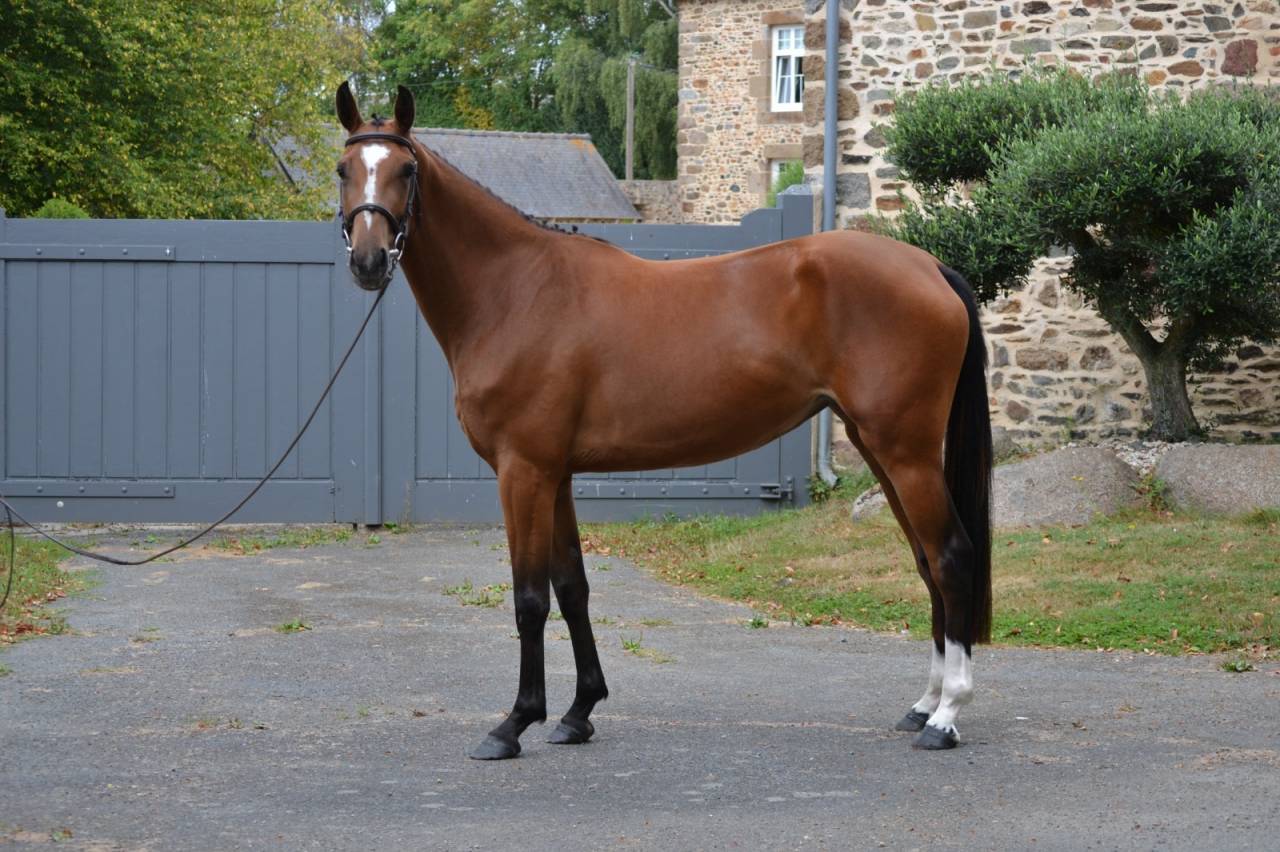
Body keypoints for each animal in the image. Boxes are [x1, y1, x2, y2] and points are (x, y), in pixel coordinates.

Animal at [334, 82, 993, 759]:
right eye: (343, 169)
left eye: (406, 170)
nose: (368, 261)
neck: (516, 290)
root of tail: (929, 267)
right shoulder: (556, 474)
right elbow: (572, 588)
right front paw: (578, 712)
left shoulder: (523, 471)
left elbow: (529, 598)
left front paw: (514, 723)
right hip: (879, 447)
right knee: (926, 561)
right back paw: (923, 705)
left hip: (906, 452)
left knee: (951, 557)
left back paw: (946, 716)